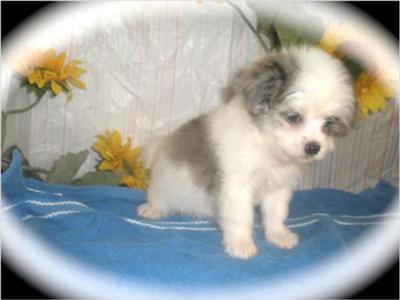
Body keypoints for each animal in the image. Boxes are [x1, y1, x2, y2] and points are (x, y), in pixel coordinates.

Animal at [137, 45, 356, 258]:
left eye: (328, 123)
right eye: (294, 117)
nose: (313, 147)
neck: (266, 145)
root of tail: (161, 145)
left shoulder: (278, 188)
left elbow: (276, 213)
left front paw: (278, 235)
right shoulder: (237, 187)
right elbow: (242, 217)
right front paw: (241, 244)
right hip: (163, 186)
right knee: (158, 197)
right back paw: (152, 209)